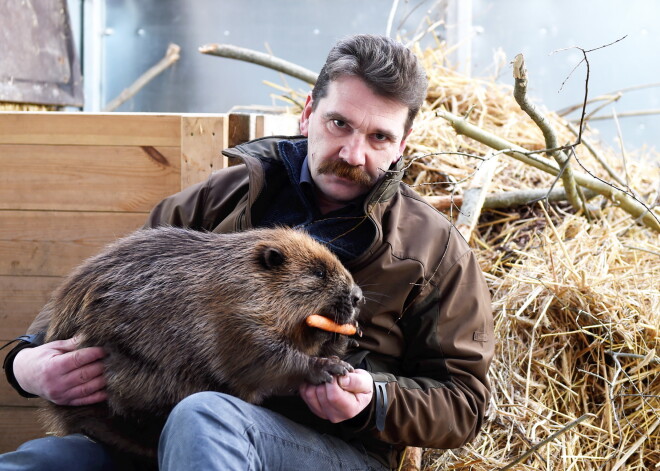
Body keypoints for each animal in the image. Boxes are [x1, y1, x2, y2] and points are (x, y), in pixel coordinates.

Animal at [40, 227, 360, 462]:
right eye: (319, 273)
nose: (357, 296)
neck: (235, 275)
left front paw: (343, 337)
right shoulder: (231, 313)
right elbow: (257, 357)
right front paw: (329, 367)